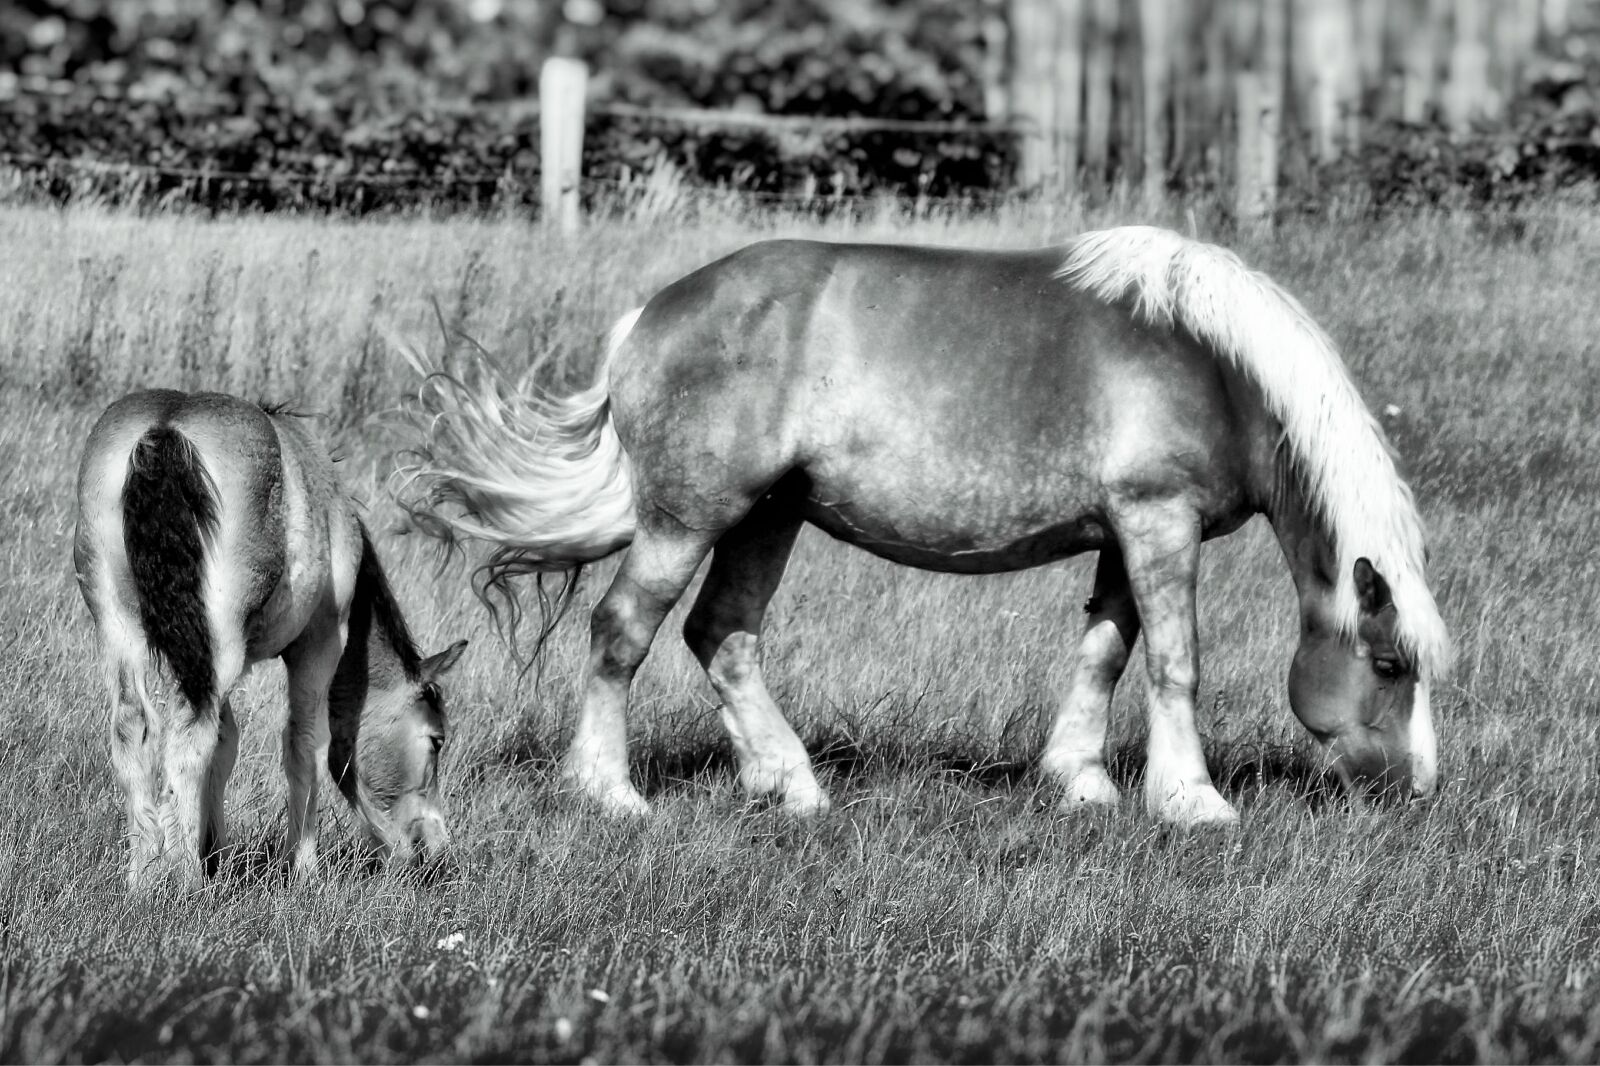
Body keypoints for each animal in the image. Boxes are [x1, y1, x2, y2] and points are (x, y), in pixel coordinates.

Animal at [74, 390, 467, 892]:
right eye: (436, 740)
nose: (433, 852)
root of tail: (165, 428)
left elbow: (226, 745)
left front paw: (214, 851)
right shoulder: (319, 648)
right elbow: (305, 746)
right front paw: (302, 868)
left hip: (121, 630)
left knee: (134, 728)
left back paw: (143, 874)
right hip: (218, 645)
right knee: (189, 736)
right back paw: (184, 878)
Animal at [395, 226, 1450, 828]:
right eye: (1387, 663)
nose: (1417, 789)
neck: (1213, 361)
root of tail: (651, 315)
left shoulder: (1124, 533)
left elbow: (1106, 653)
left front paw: (1080, 781)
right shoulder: (1158, 521)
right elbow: (1173, 660)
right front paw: (1192, 802)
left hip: (768, 518)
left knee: (722, 634)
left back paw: (788, 785)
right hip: (689, 518)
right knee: (623, 632)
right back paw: (611, 794)